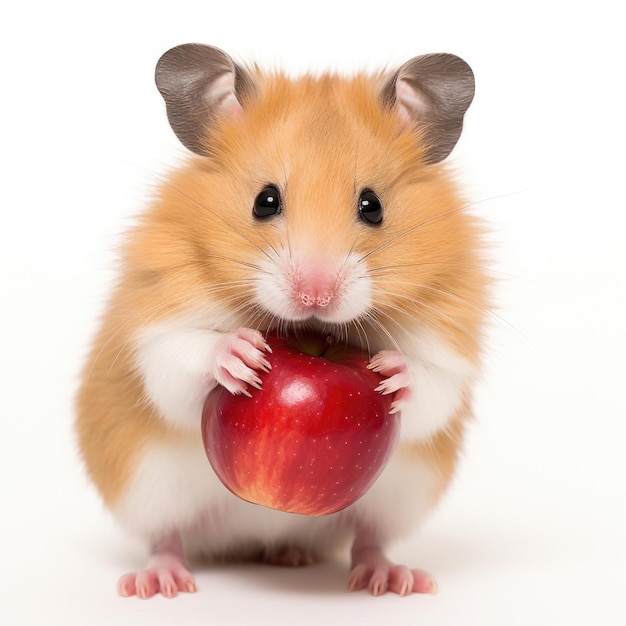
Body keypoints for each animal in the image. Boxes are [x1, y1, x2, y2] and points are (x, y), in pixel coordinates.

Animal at [74, 41, 488, 596]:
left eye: (373, 205)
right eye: (265, 200)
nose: (316, 295)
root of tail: (256, 531)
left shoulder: (447, 350)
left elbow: (431, 388)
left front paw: (391, 371)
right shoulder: (158, 328)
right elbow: (180, 358)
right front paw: (242, 354)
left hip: (397, 496)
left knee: (368, 539)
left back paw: (383, 577)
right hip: (151, 489)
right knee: (166, 537)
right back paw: (158, 583)